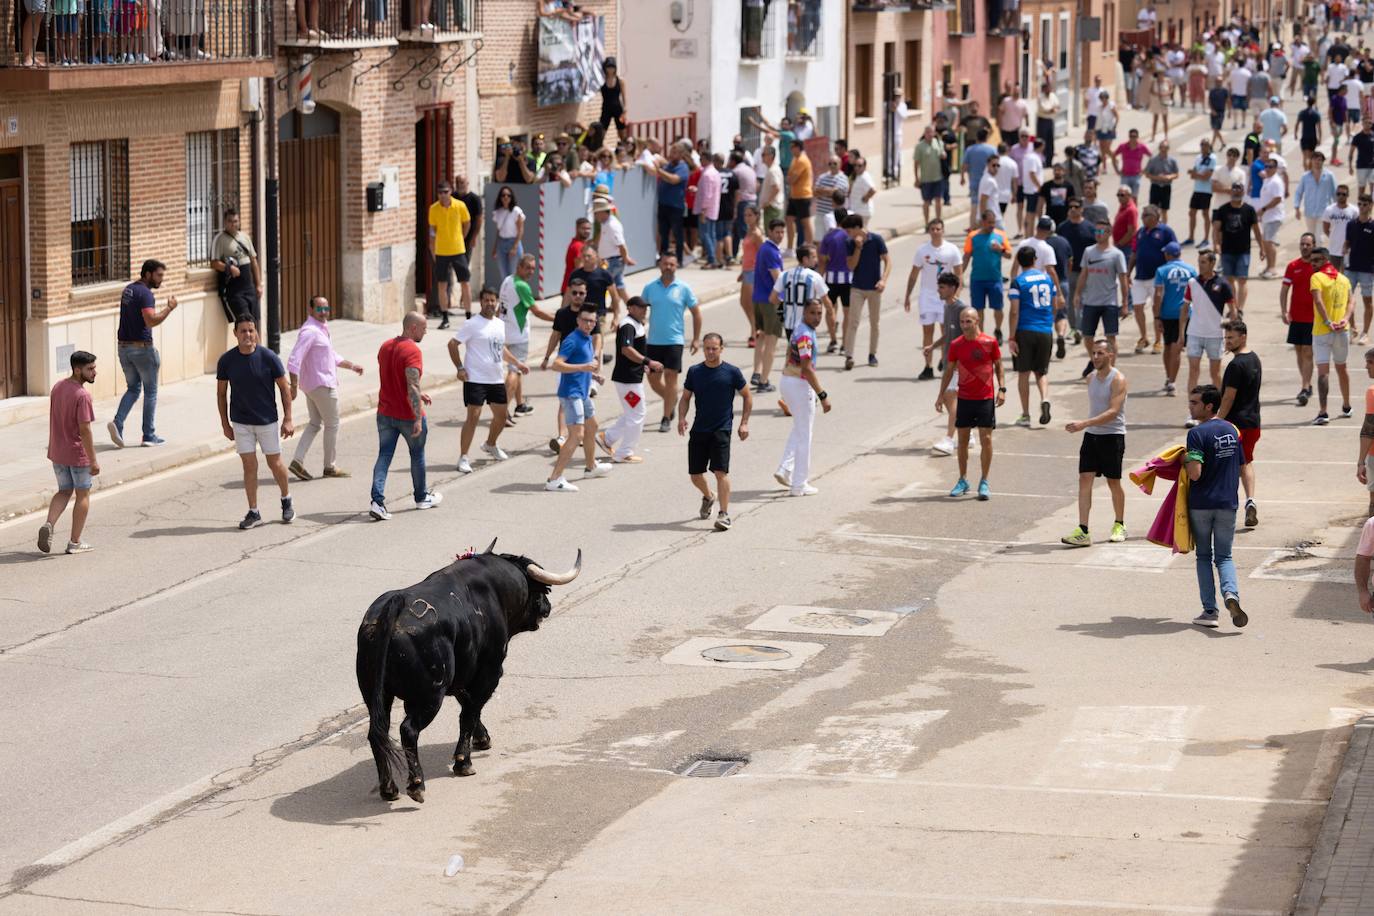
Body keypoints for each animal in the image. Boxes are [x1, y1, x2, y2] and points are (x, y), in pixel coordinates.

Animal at [354, 543, 579, 802]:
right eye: (543, 590)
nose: (547, 607)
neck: (495, 589)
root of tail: (395, 604)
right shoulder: (491, 670)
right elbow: (470, 711)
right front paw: (464, 762)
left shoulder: (462, 675)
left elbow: (469, 705)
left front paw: (482, 739)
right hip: (430, 695)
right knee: (408, 730)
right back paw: (416, 785)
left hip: (376, 693)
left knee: (377, 731)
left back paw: (389, 788)